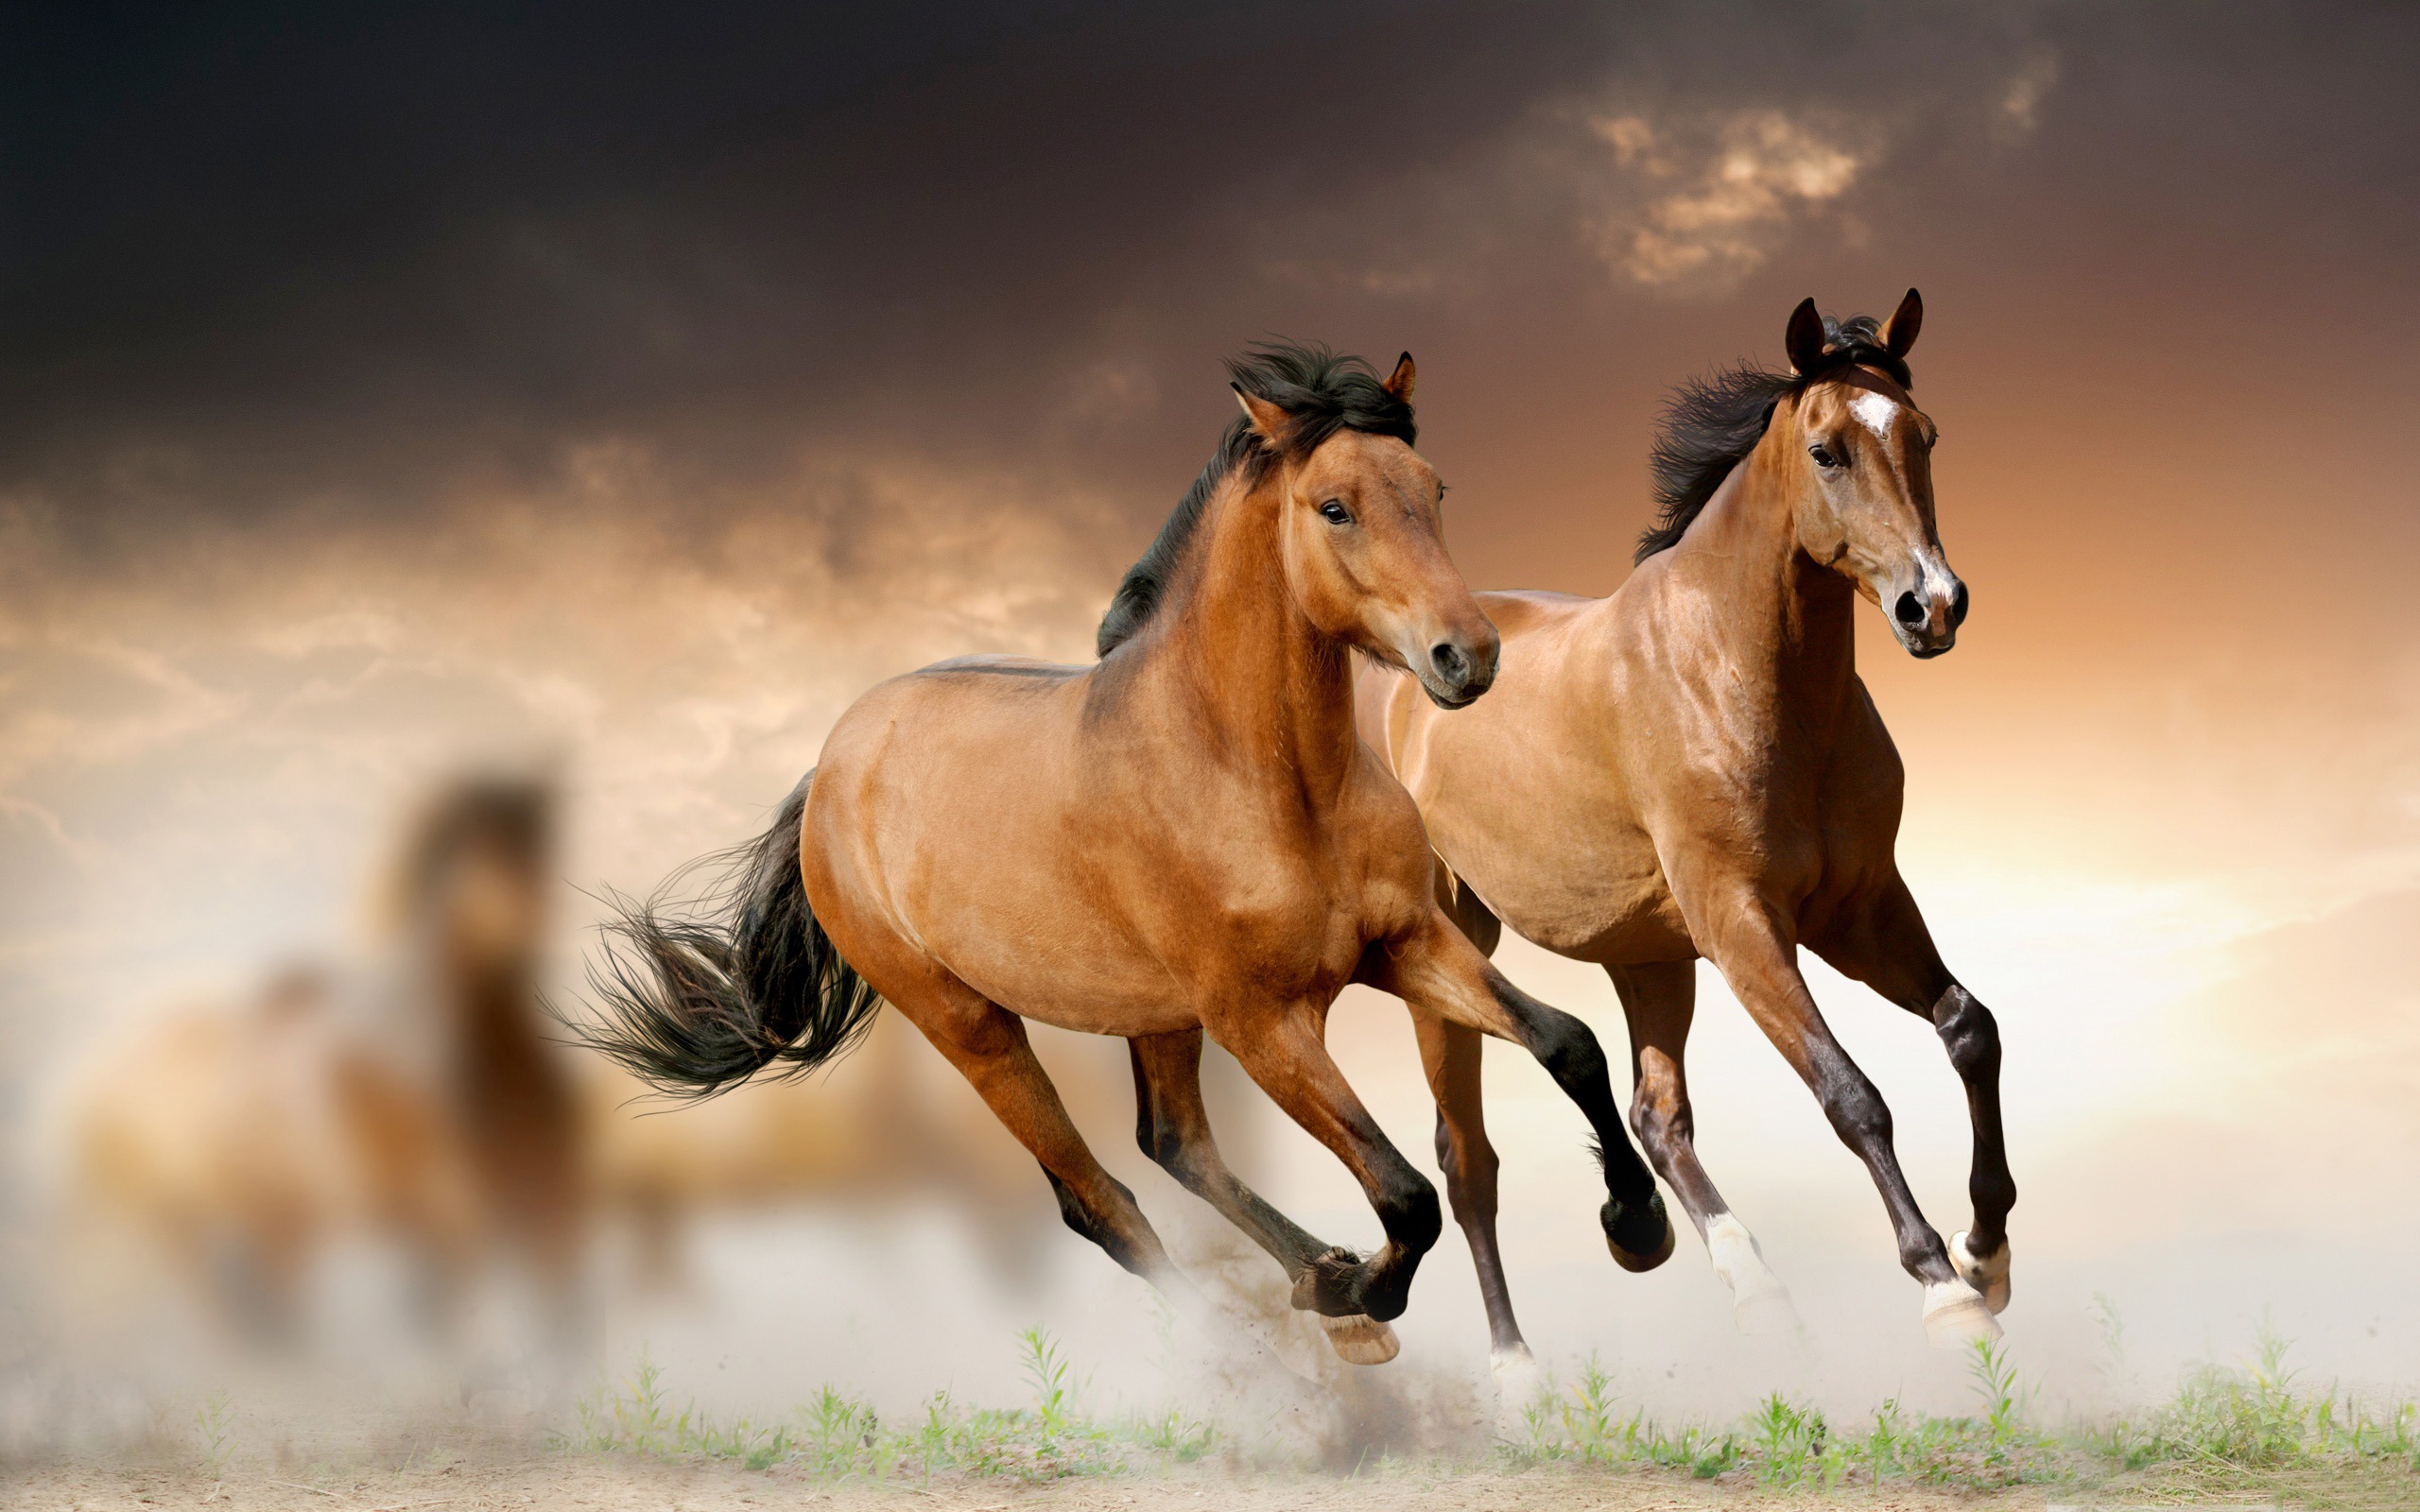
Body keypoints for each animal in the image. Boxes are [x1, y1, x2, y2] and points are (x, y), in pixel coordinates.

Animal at [574, 343, 1671, 1368]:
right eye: (1334, 508)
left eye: (1434, 488)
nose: (1467, 657)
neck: (1263, 778)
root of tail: (832, 768)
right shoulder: (1262, 1022)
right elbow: (1404, 1194)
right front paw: (1366, 1290)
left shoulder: (1403, 943)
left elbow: (1568, 1042)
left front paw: (1637, 1227)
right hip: (972, 1025)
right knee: (1100, 1202)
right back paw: (1278, 1341)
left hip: (1155, 1015)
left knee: (1172, 1143)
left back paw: (1317, 1281)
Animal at [1359, 292, 2014, 1374]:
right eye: (1828, 450)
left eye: (1923, 435)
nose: (1935, 606)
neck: (1737, 673)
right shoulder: (1743, 923)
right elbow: (1850, 1093)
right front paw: (1943, 1289)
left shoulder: (1860, 908)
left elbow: (1969, 1028)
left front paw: (1987, 1251)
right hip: (1451, 949)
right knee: (1468, 1161)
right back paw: (1515, 1367)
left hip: (1648, 955)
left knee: (1655, 1118)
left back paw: (1742, 1283)